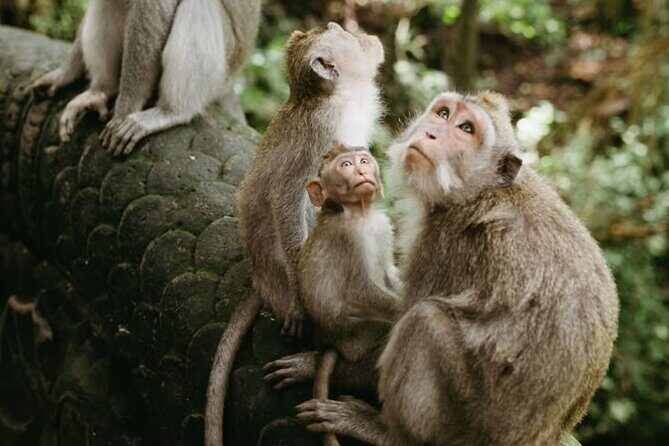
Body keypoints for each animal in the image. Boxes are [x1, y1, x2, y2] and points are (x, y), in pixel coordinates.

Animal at [31, 0, 260, 156]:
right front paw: (64, 74)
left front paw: (124, 111)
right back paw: (102, 89)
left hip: (225, 65)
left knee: (199, 4)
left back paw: (172, 110)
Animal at [204, 24, 385, 446]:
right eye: (343, 34)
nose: (363, 35)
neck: (335, 97)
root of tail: (259, 276)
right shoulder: (324, 131)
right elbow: (289, 196)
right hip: (281, 275)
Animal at [264, 143, 401, 446]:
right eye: (345, 165)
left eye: (364, 161)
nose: (361, 171)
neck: (360, 213)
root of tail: (332, 339)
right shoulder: (348, 238)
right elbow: (359, 290)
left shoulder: (382, 225)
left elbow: (388, 271)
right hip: (359, 338)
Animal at [296, 91, 619, 446]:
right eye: (443, 114)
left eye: (466, 128)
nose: (431, 133)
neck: (480, 190)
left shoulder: (443, 239)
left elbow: (402, 319)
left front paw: (311, 364)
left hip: (465, 422)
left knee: (424, 320)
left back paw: (386, 432)